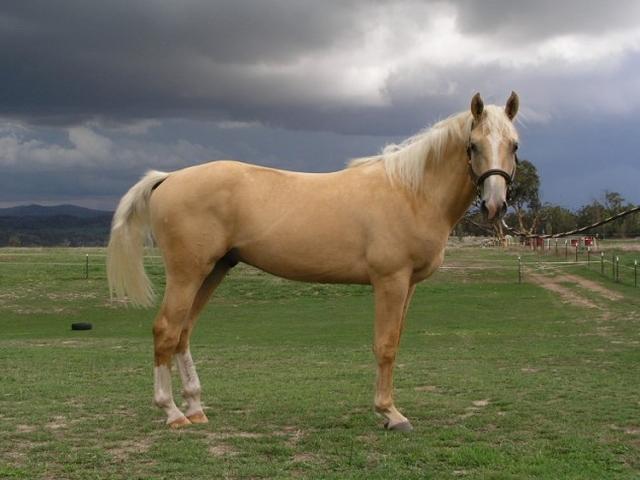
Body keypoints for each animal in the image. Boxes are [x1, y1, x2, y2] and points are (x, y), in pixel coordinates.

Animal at [107, 92, 520, 431]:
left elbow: (396, 342)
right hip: (187, 273)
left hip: (212, 271)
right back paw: (172, 412)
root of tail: (168, 177)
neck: (411, 191)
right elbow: (385, 345)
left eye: (514, 145)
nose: (495, 205)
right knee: (165, 330)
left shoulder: (409, 286)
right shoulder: (390, 280)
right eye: (473, 145)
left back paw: (194, 407)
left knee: (183, 333)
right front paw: (390, 414)